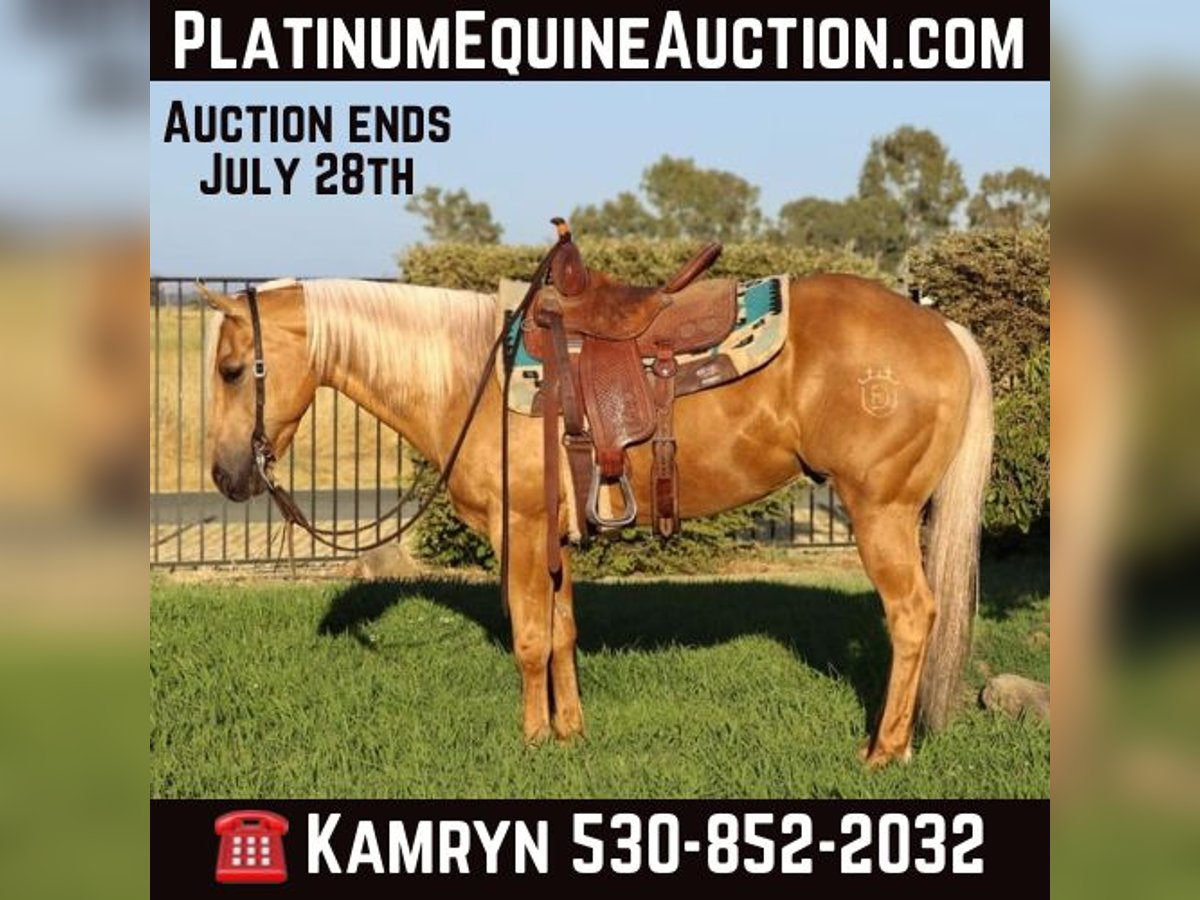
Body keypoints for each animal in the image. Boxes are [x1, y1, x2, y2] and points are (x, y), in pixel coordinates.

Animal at [198, 260, 992, 768]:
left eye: (233, 370)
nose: (226, 475)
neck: (474, 379)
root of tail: (943, 328)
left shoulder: (517, 532)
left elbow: (528, 639)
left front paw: (531, 742)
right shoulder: (553, 536)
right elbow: (562, 634)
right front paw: (571, 733)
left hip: (880, 512)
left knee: (913, 616)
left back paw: (884, 751)